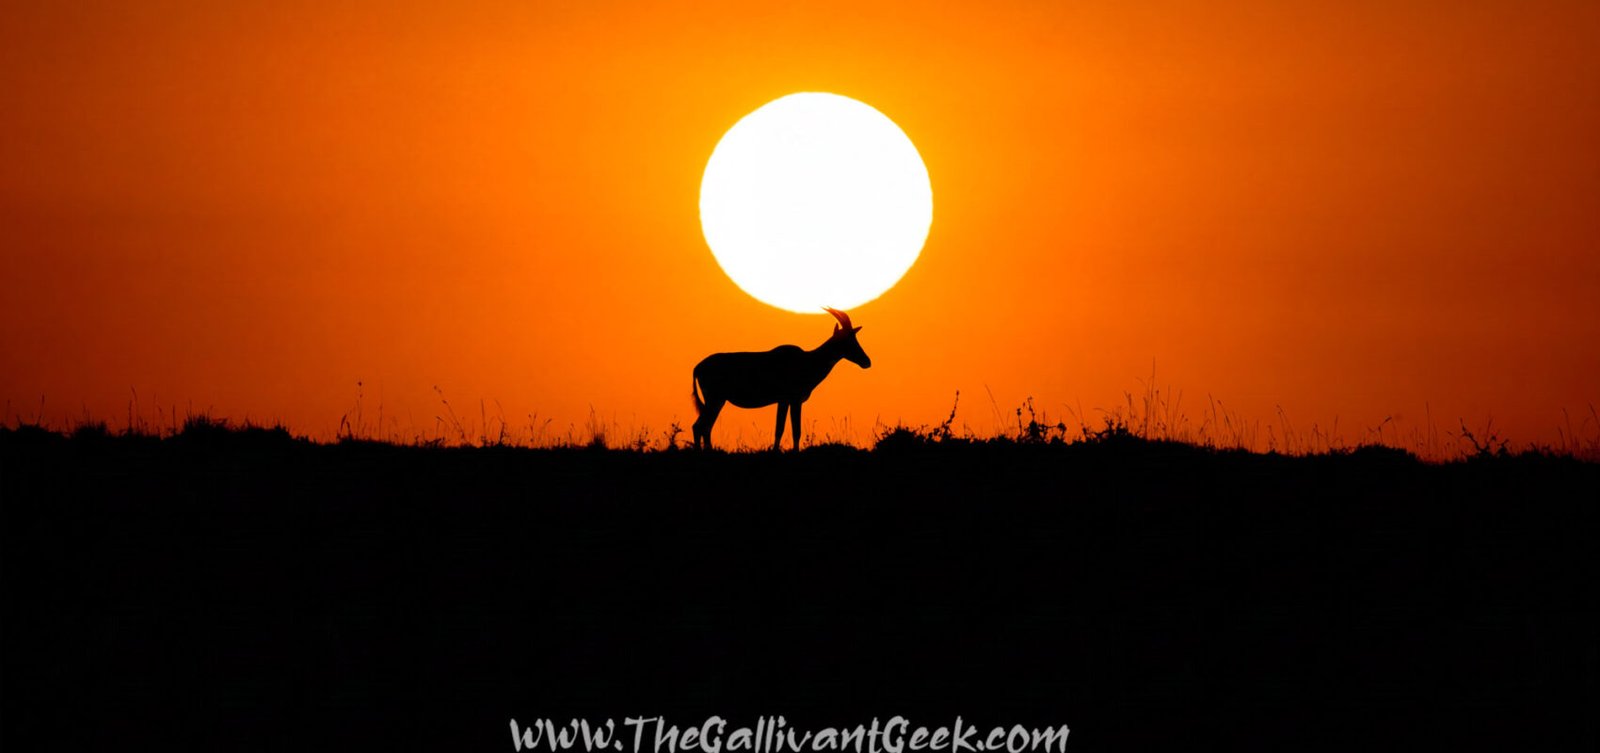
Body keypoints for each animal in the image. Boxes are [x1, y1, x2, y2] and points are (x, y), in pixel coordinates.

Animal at [692, 307, 871, 451]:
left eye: (854, 337)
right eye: (848, 339)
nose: (866, 361)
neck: (807, 360)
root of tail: (698, 367)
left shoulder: (784, 401)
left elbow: (782, 428)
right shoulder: (792, 400)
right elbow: (792, 429)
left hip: (717, 401)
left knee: (705, 427)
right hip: (715, 400)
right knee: (699, 426)